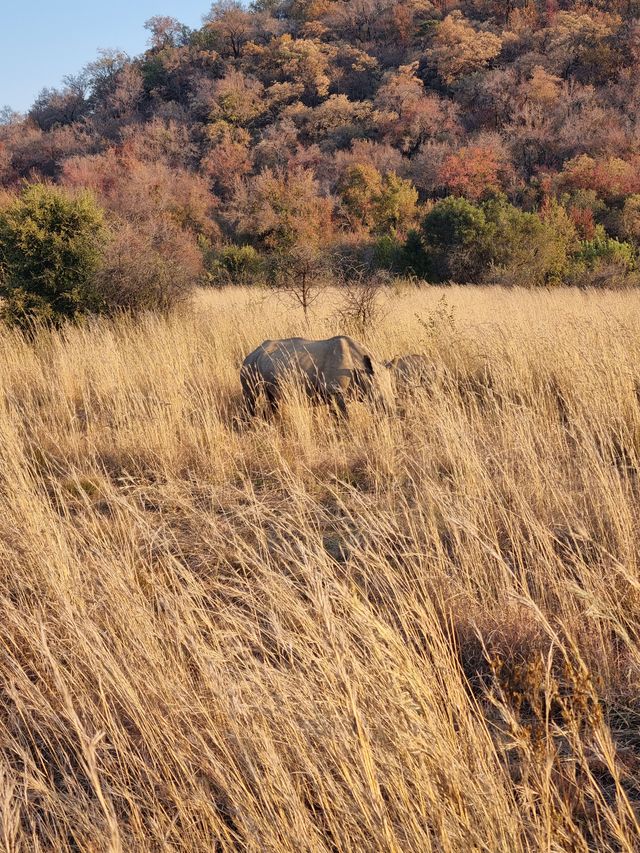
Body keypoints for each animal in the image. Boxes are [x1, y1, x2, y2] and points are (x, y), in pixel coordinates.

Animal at [240, 336, 392, 416]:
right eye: (378, 396)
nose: (391, 411)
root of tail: (254, 351)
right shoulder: (334, 391)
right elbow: (343, 416)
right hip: (249, 365)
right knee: (251, 396)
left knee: (273, 400)